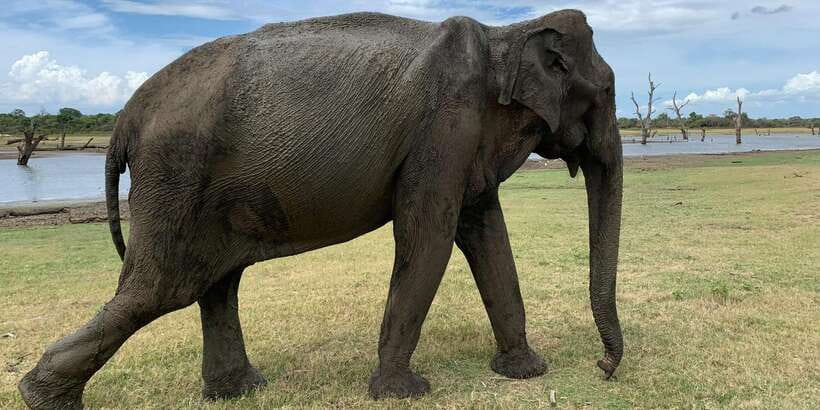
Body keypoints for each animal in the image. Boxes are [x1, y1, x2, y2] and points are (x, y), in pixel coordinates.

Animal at [19, 9, 623, 408]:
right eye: (609, 92)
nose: (603, 368)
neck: (507, 34)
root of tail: (125, 118)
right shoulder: (444, 128)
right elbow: (427, 237)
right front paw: (402, 394)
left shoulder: (465, 141)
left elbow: (486, 234)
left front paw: (525, 372)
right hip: (174, 176)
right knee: (162, 289)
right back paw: (40, 397)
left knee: (213, 284)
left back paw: (240, 391)